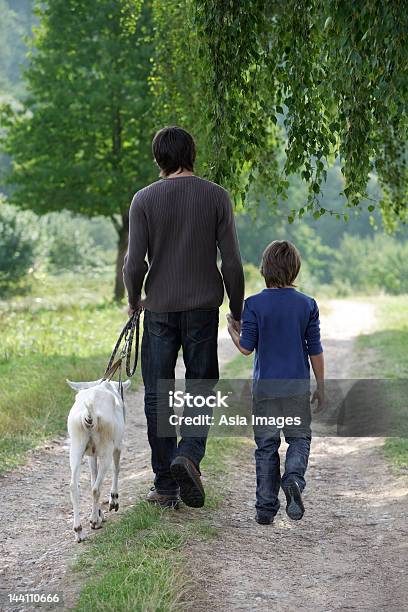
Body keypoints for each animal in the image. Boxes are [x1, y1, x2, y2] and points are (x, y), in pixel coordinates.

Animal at [66, 380, 131, 544]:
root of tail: (89, 415)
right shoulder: (117, 446)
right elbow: (116, 469)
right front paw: (113, 502)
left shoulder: (91, 455)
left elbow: (93, 478)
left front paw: (100, 514)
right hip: (106, 449)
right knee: (96, 488)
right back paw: (95, 521)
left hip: (76, 447)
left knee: (74, 486)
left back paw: (79, 531)